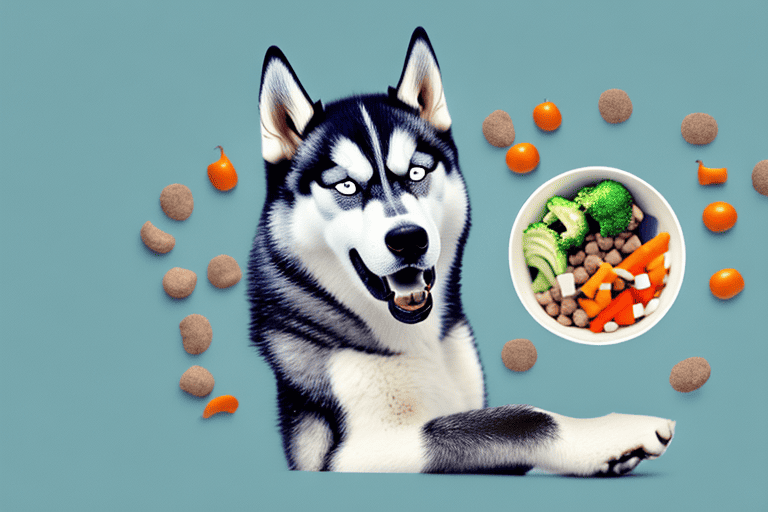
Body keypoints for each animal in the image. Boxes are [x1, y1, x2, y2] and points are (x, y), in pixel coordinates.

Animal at [249, 27, 676, 476]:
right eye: (346, 186)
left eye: (417, 171)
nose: (408, 238)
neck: (420, 344)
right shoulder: (350, 455)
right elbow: (519, 419)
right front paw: (614, 434)